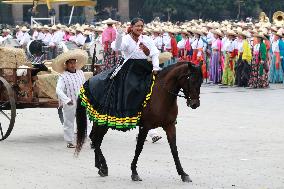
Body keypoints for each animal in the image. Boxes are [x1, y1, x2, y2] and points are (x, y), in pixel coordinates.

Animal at [75, 61, 203, 182]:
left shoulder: (170, 125)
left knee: (96, 139)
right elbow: (139, 148)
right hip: (102, 122)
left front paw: (183, 173)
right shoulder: (145, 126)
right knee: (96, 140)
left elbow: (174, 149)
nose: (195, 104)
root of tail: (89, 80)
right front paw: (134, 172)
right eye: (190, 79)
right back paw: (103, 167)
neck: (162, 95)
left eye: (201, 81)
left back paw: (100, 166)